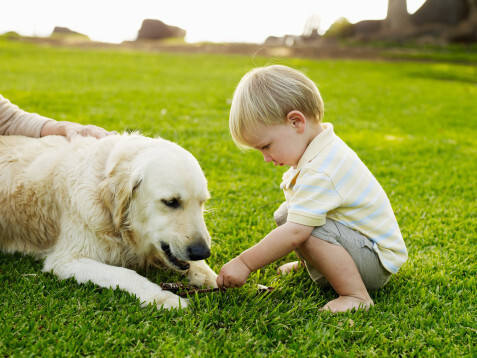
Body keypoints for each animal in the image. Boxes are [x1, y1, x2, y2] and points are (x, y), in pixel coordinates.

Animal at [0, 133, 218, 310]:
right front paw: (161, 296)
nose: (202, 252)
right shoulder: (65, 261)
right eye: (171, 202)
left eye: (202, 202)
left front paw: (213, 277)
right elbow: (124, 273)